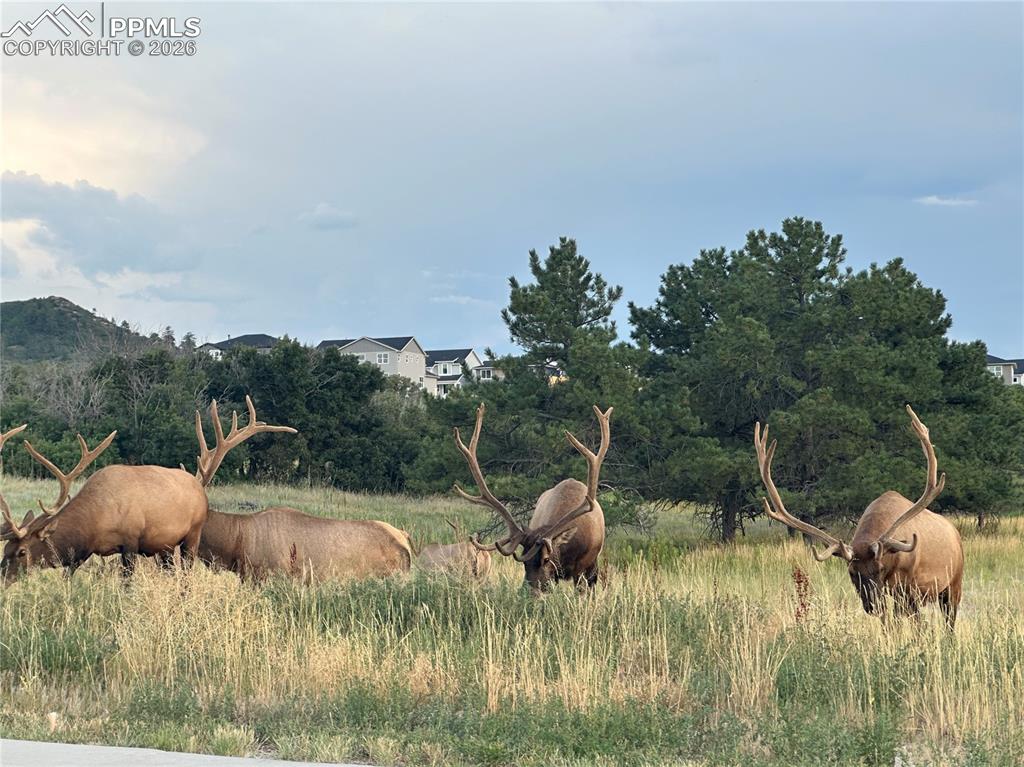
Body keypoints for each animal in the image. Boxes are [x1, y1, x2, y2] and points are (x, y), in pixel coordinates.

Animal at [1, 396, 294, 582]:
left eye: (22, 552)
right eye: (5, 549)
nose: (4, 578)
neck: (96, 521)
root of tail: (199, 489)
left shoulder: (131, 542)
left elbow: (127, 584)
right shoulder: (85, 554)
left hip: (191, 537)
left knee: (186, 575)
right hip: (165, 547)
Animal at [754, 405, 964, 629]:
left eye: (879, 569)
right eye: (852, 572)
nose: (872, 606)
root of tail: (955, 532)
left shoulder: (907, 589)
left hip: (954, 585)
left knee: (948, 624)